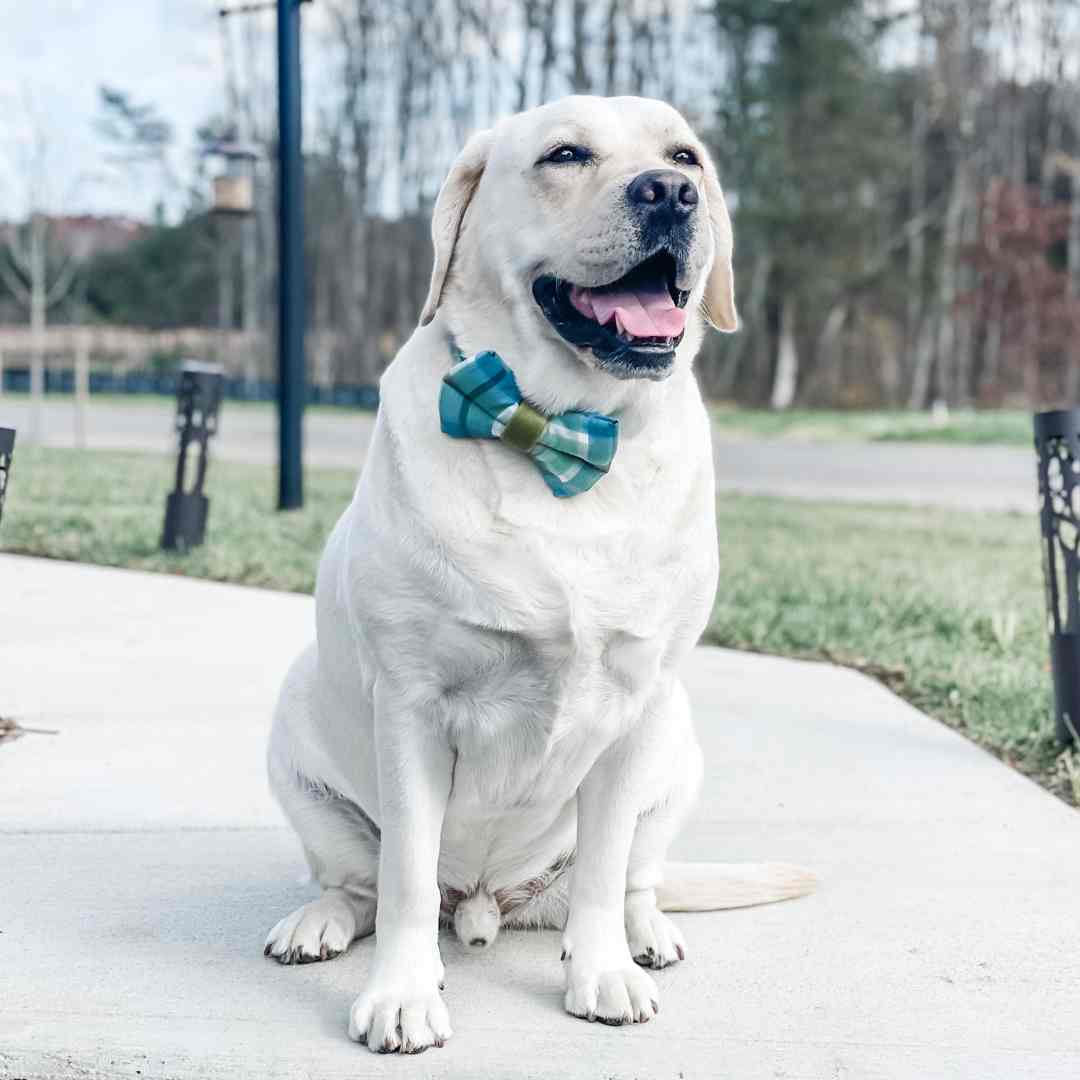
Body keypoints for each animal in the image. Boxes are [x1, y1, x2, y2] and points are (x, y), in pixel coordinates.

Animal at [267, 95, 812, 1054]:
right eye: (565, 155)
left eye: (686, 157)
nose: (670, 193)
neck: (558, 431)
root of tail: (489, 902)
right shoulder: (411, 705)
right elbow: (404, 876)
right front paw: (403, 993)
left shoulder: (634, 707)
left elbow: (601, 868)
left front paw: (602, 972)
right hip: (292, 737)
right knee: (360, 882)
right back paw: (320, 921)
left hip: (677, 742)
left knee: (635, 876)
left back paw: (645, 932)